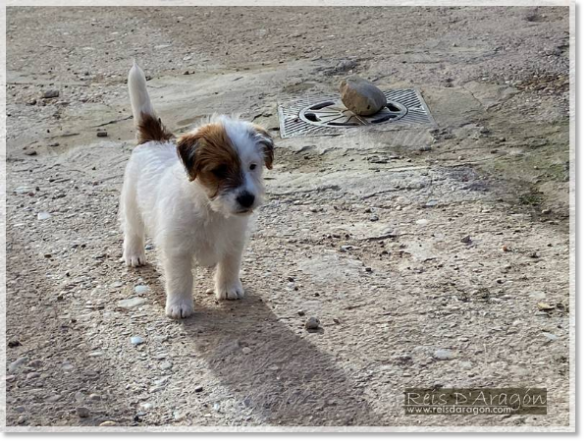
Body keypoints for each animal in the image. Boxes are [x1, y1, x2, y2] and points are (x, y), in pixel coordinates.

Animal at [120, 62, 274, 320]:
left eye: (253, 166)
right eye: (219, 170)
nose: (247, 199)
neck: (210, 209)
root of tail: (154, 139)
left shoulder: (233, 240)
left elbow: (229, 265)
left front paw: (228, 288)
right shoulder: (177, 249)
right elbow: (181, 278)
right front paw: (179, 305)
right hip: (132, 204)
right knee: (132, 230)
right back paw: (133, 254)